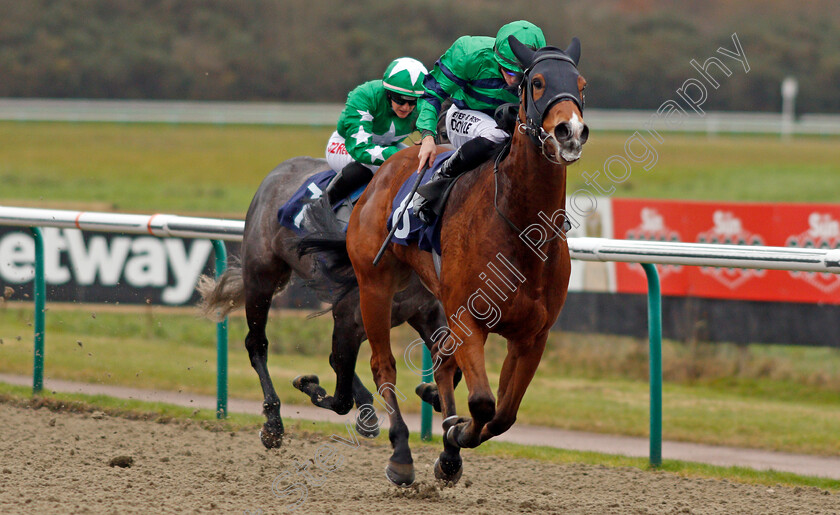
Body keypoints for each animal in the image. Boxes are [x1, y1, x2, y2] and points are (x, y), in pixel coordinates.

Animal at [197, 156, 450, 448]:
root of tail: (277, 173)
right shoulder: (348, 315)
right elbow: (340, 397)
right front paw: (310, 386)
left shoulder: (425, 311)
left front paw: (431, 393)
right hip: (260, 279)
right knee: (256, 343)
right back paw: (273, 422)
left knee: (333, 359)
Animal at [300, 37, 584, 488]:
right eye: (537, 82)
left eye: (581, 84)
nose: (569, 132)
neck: (522, 229)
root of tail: (386, 168)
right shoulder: (469, 318)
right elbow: (483, 402)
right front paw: (454, 432)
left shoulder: (532, 336)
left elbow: (503, 414)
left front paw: (452, 441)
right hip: (375, 286)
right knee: (383, 366)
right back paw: (401, 454)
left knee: (443, 365)